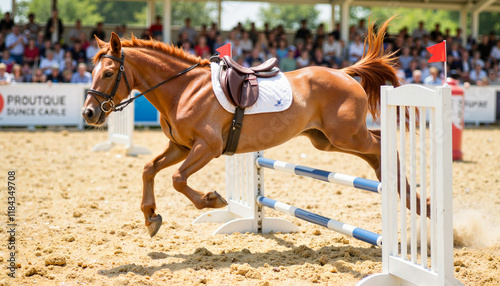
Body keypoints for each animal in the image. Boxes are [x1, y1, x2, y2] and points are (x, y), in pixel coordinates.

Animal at [82, 16, 426, 238]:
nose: (89, 113)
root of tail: (343, 72)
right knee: (374, 149)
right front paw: (151, 217)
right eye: (91, 71)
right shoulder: (180, 146)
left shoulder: (206, 147)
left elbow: (178, 179)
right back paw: (401, 192)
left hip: (346, 134)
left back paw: (406, 193)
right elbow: (149, 169)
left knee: (379, 144)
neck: (183, 89)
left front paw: (212, 200)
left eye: (109, 73)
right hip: (327, 140)